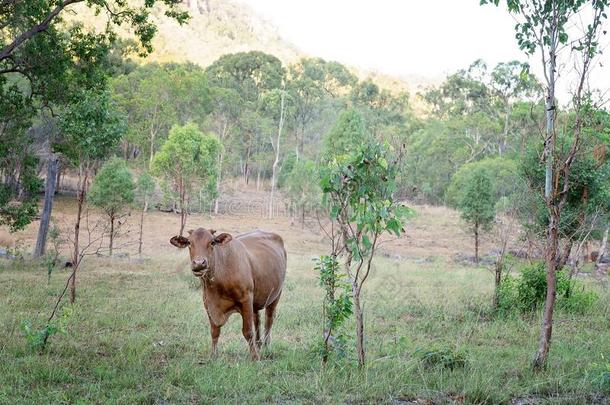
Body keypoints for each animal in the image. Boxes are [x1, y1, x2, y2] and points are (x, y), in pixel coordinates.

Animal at [169, 227, 284, 360]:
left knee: (269, 319)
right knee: (257, 319)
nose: (199, 263)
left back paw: (266, 345)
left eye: (212, 242)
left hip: (276, 295)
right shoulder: (208, 304)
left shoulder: (246, 299)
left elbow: (247, 331)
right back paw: (259, 343)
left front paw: (255, 357)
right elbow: (214, 332)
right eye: (189, 242)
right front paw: (213, 356)